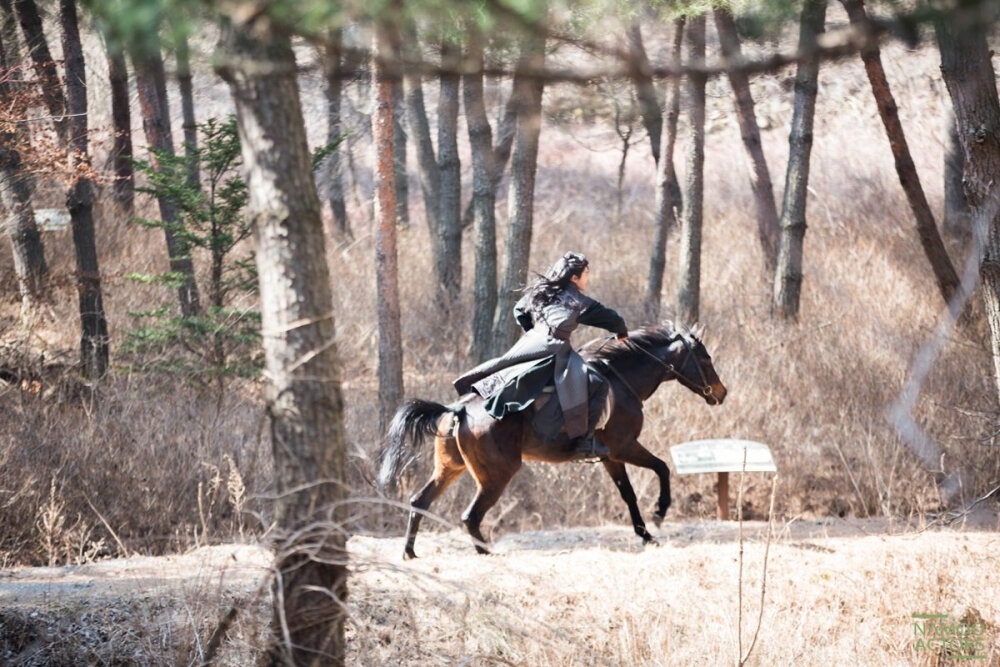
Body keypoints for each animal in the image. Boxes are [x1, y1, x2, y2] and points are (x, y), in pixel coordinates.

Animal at [376, 324, 728, 560]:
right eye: (705, 358)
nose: (722, 393)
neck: (620, 380)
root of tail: (457, 409)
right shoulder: (625, 447)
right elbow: (662, 468)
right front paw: (659, 512)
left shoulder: (610, 457)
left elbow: (627, 495)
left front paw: (646, 535)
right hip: (496, 476)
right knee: (470, 516)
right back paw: (485, 552)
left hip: (450, 468)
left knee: (419, 501)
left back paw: (410, 552)